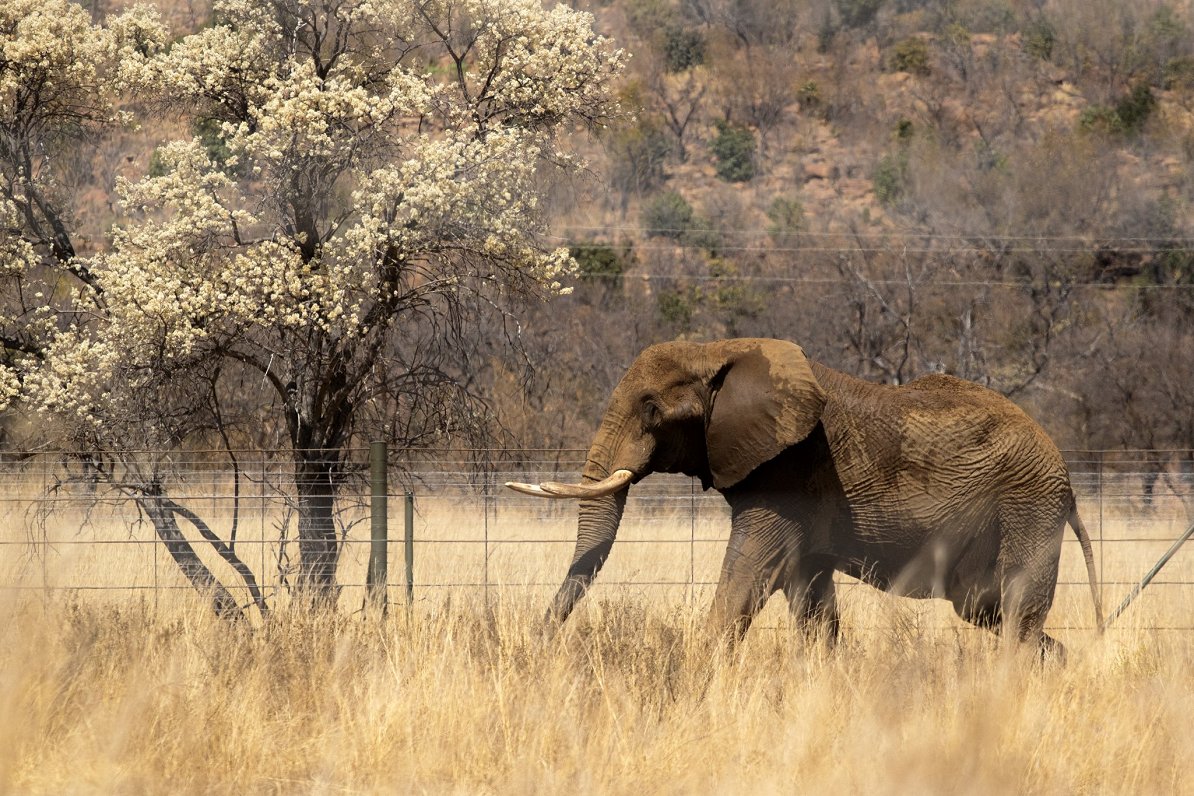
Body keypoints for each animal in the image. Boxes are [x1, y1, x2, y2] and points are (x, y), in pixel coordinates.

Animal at [508, 336, 1103, 653]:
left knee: (1018, 612)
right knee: (995, 613)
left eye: (652, 410)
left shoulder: (788, 471)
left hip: (1030, 504)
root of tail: (1067, 477)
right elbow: (809, 596)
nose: (537, 649)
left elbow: (749, 574)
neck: (720, 349)